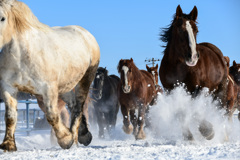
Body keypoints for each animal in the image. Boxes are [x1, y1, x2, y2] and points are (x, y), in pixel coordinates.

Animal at [0, 0, 100, 151]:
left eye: (2, 18)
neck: (22, 55)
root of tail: (85, 33)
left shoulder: (48, 89)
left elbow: (52, 115)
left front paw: (66, 139)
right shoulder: (9, 88)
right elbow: (10, 116)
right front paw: (8, 144)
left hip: (85, 79)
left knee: (78, 106)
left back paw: (76, 137)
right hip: (65, 87)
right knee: (72, 104)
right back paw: (84, 135)